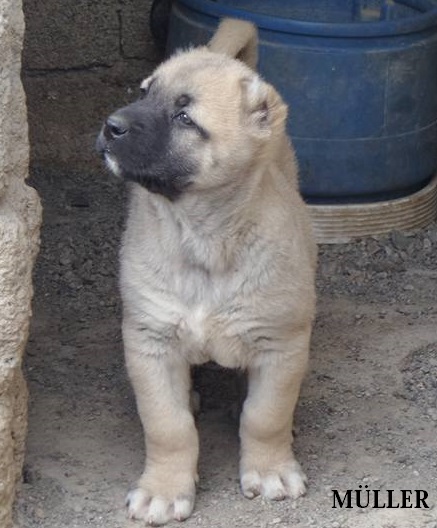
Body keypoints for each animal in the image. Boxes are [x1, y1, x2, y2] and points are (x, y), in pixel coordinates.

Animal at [95, 18, 316, 524]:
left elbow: (266, 416)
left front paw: (270, 469)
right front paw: (163, 489)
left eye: (185, 118)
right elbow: (168, 426)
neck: (203, 237)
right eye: (144, 92)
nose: (111, 126)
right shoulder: (149, 341)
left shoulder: (283, 344)